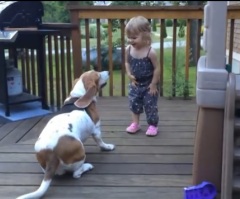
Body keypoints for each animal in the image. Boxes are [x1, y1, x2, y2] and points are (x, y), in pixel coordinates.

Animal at [16, 70, 115, 199]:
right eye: (97, 74)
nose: (107, 72)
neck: (78, 96)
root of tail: (51, 155)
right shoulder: (96, 129)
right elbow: (101, 142)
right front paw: (108, 147)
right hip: (80, 152)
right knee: (76, 173)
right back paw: (87, 167)